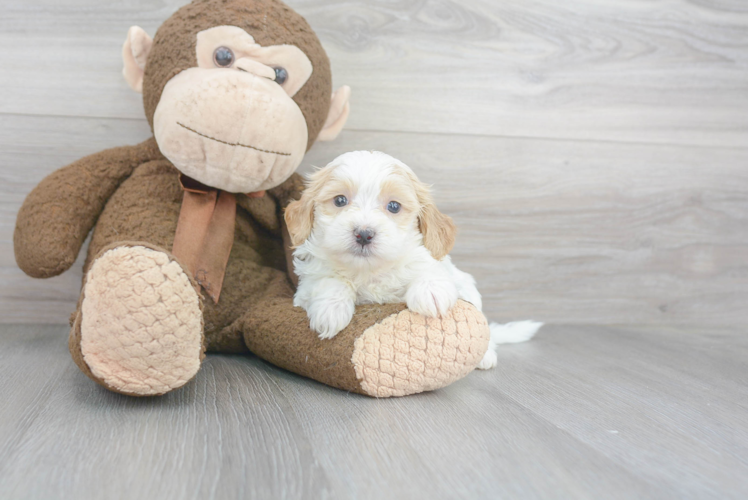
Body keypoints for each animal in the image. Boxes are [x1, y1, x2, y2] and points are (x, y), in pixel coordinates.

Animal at [284, 150, 540, 370]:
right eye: (339, 201)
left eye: (393, 206)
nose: (364, 234)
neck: (370, 271)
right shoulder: (306, 285)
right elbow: (328, 280)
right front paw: (331, 309)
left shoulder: (438, 263)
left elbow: (431, 268)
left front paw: (431, 293)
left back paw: (486, 356)